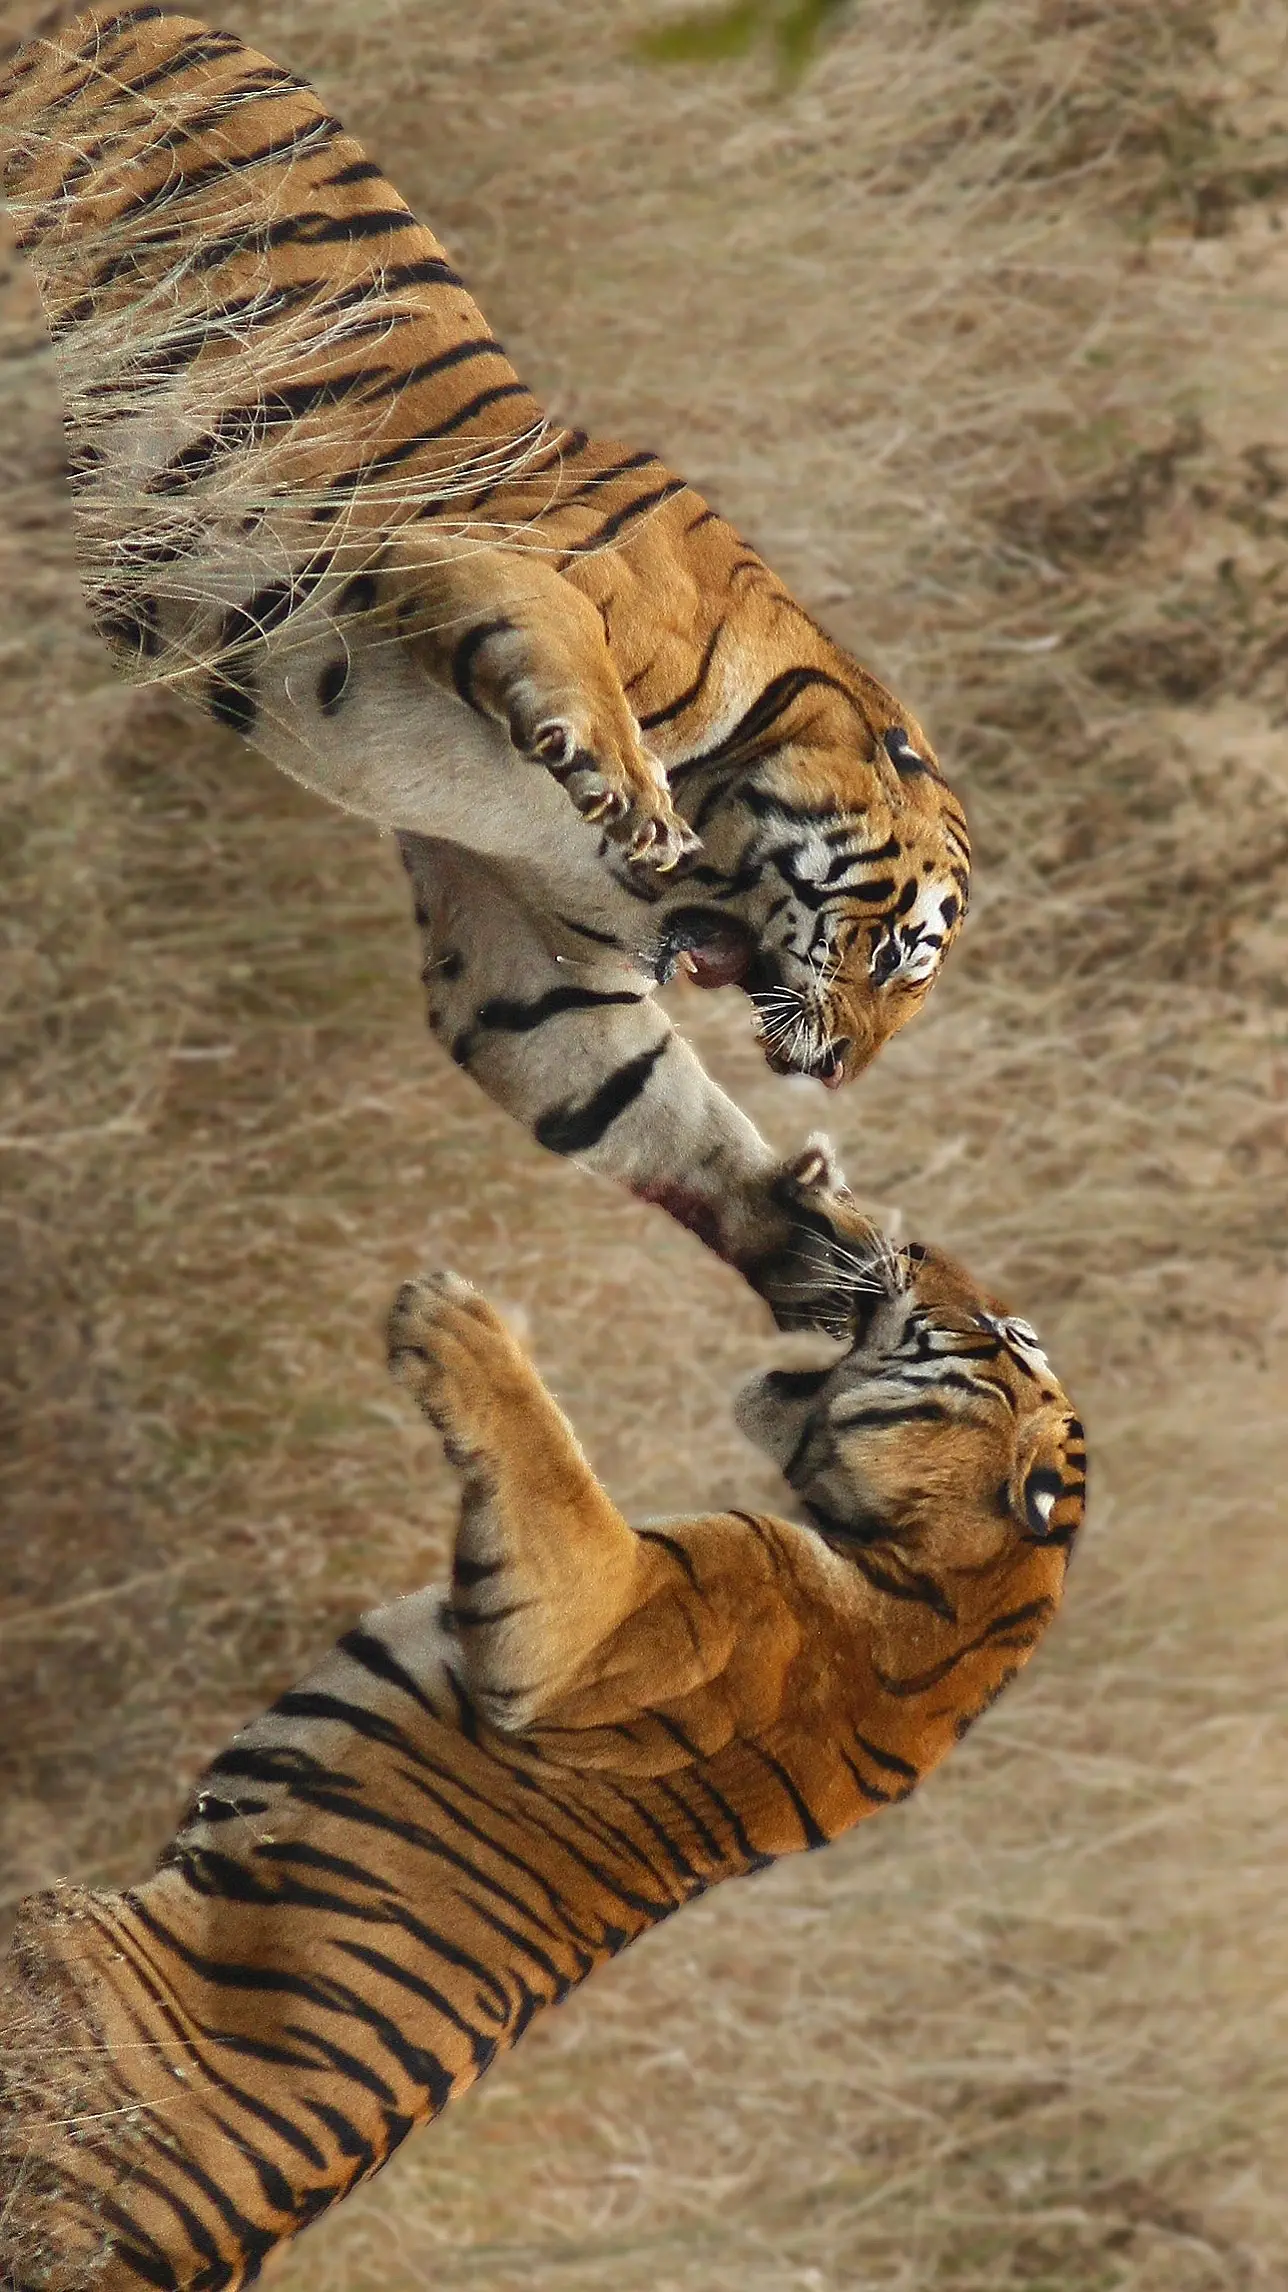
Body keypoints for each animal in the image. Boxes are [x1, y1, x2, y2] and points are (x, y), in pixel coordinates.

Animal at [0, 8, 971, 1325]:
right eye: (896, 955)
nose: (841, 1077)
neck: (702, 868)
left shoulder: (517, 936)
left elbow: (641, 1107)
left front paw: (815, 1242)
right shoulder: (446, 551)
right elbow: (568, 650)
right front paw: (618, 776)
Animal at [0, 1153, 1085, 2292]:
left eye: (1003, 1334)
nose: (913, 1244)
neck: (951, 1584)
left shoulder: (594, 1624)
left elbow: (556, 1464)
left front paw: (455, 1321)